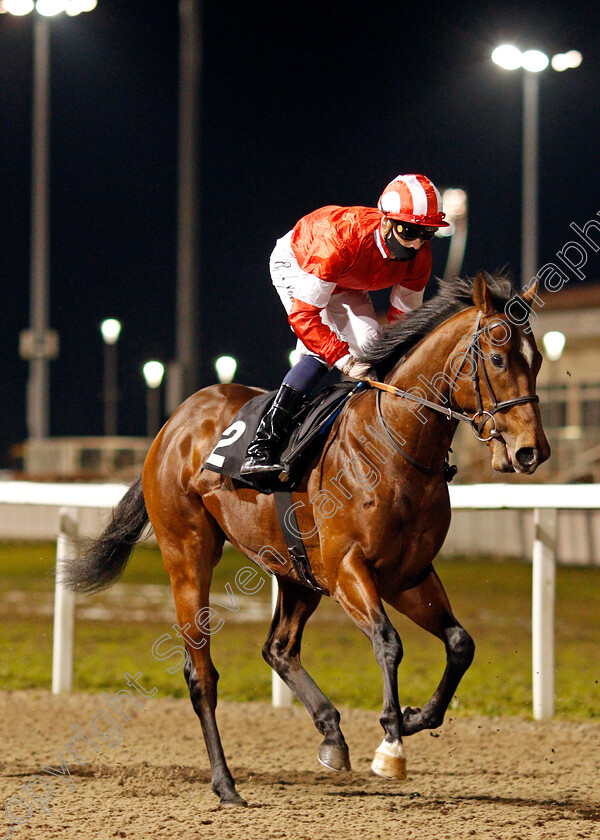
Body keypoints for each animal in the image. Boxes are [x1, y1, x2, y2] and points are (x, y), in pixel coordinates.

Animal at [64, 270, 548, 808]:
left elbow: (460, 643)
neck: (393, 448)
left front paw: (413, 718)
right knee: (201, 673)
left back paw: (331, 733)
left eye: (538, 360)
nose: (531, 451)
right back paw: (226, 783)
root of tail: (174, 422)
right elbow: (388, 642)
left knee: (278, 648)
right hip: (188, 553)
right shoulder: (347, 570)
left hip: (294, 569)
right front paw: (391, 743)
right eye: (499, 359)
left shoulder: (409, 575)